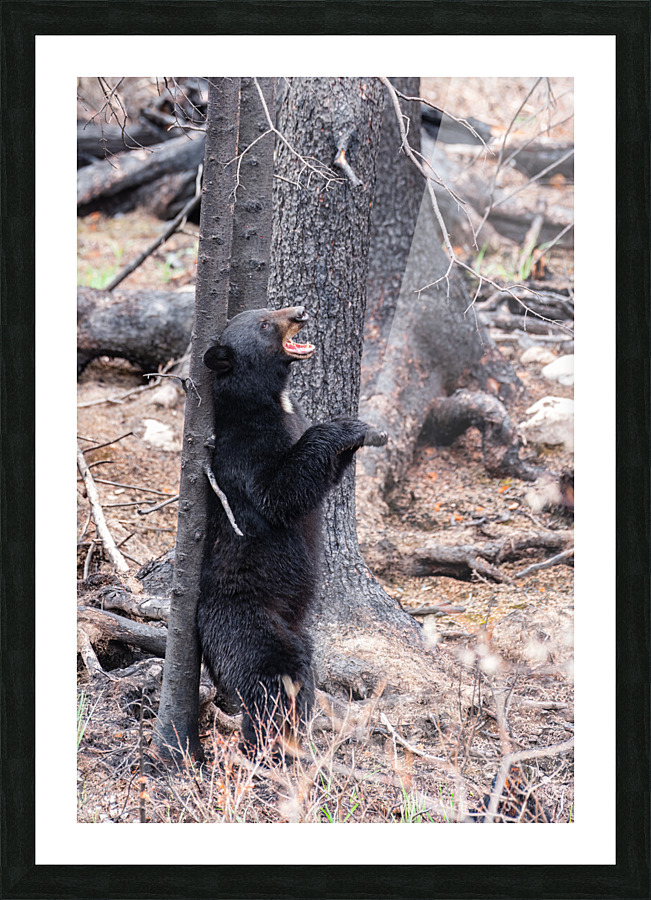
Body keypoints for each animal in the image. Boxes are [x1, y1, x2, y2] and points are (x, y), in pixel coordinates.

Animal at [198, 305, 372, 757]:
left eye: (267, 308)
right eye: (263, 324)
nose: (300, 311)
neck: (271, 401)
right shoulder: (244, 454)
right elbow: (280, 492)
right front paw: (343, 427)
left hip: (298, 629)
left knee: (303, 672)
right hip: (247, 622)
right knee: (274, 678)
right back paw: (273, 746)